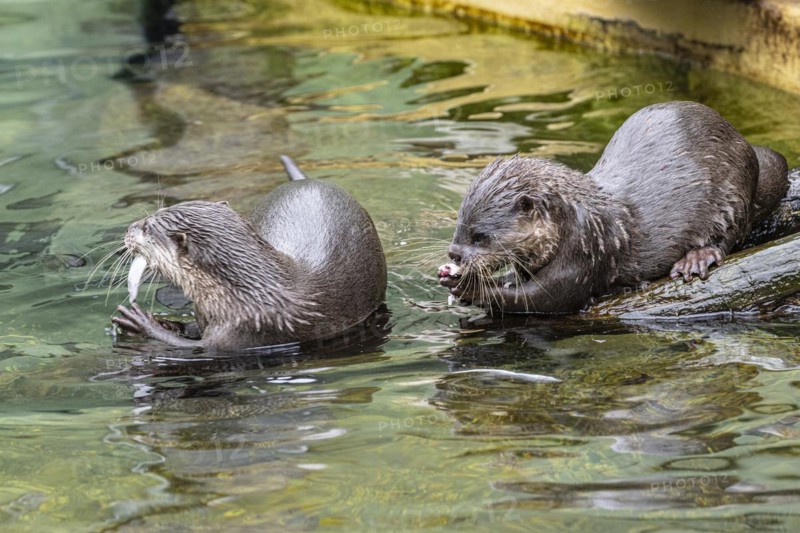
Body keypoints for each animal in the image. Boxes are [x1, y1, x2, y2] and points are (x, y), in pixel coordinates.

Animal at [112, 156, 387, 350]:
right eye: (153, 214)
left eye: (147, 226)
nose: (128, 228)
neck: (245, 295)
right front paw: (165, 322)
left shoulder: (249, 329)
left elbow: (196, 348)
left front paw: (142, 323)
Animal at [438, 101, 789, 314]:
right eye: (458, 226)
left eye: (480, 235)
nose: (454, 254)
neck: (571, 216)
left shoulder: (586, 246)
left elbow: (547, 297)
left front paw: (467, 288)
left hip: (733, 194)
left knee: (729, 235)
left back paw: (696, 258)